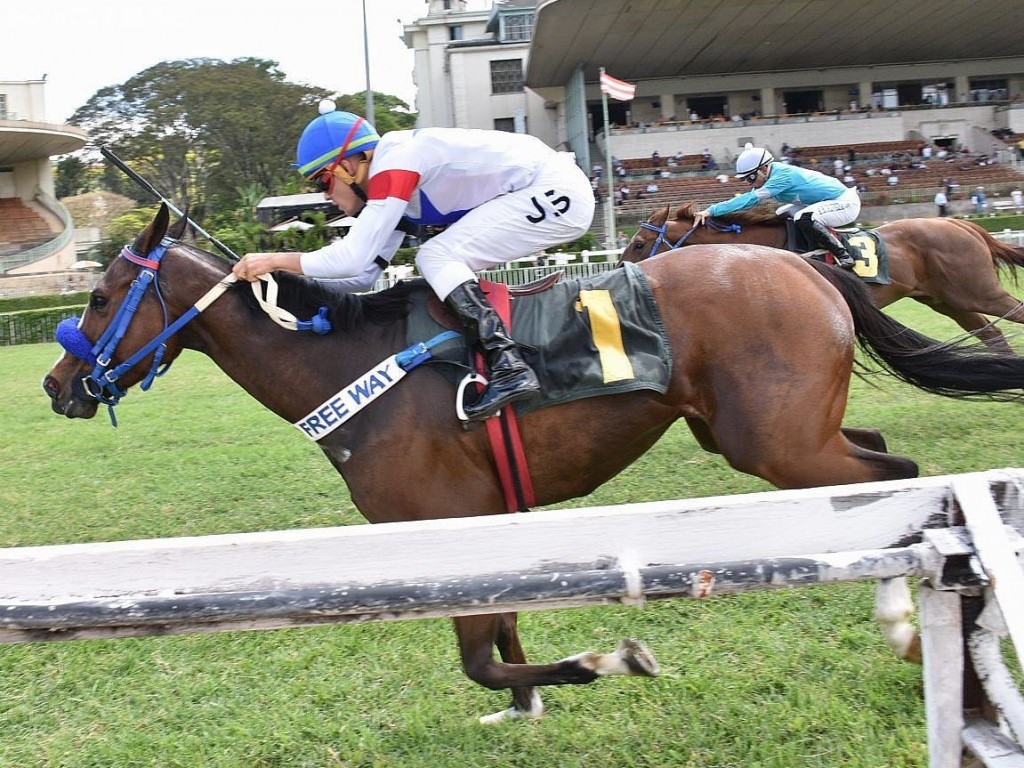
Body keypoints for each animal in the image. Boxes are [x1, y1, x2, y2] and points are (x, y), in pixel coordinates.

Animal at [618, 201, 1024, 352]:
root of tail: (962, 224)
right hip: (946, 299)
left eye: (638, 244)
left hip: (978, 292)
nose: (622, 270)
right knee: (991, 334)